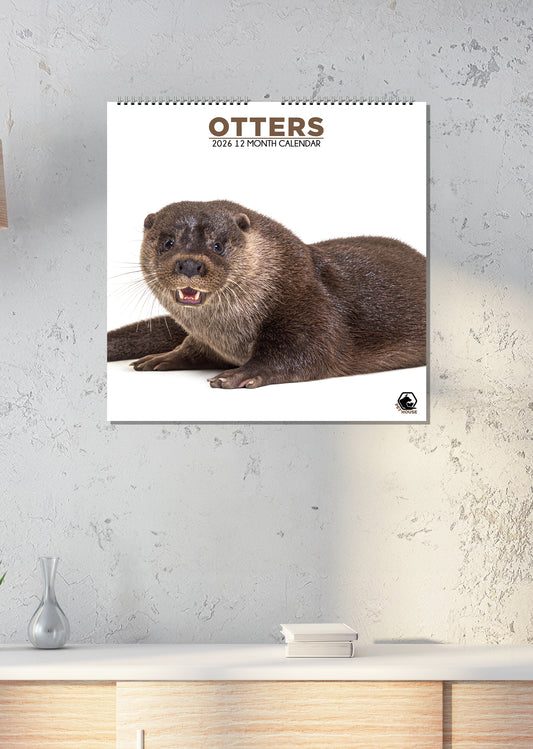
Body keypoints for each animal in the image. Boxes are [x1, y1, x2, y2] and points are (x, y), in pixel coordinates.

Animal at [107, 200, 426, 389]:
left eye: (218, 246)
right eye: (168, 243)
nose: (188, 263)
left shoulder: (310, 306)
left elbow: (310, 353)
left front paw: (242, 374)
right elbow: (192, 348)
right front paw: (161, 357)